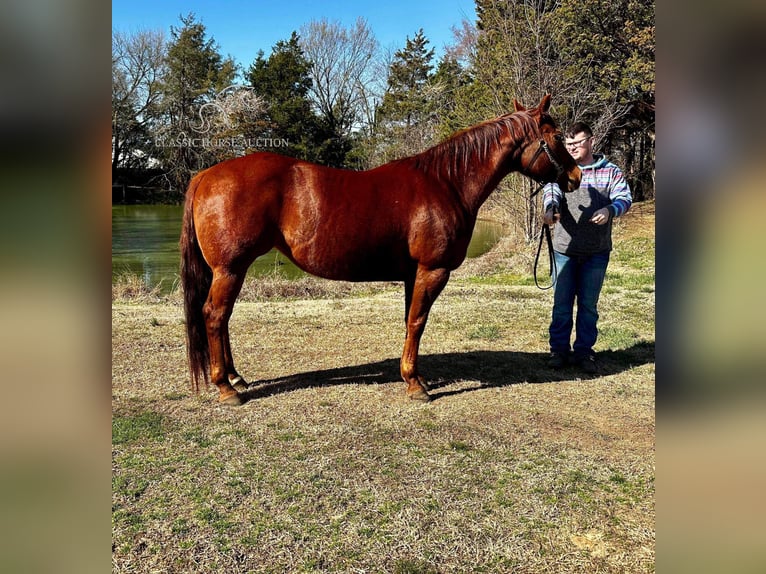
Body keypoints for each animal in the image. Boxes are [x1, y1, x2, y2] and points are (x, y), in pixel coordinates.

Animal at [180, 94, 580, 408]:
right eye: (556, 136)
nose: (576, 176)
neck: (447, 182)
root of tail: (205, 175)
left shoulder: (412, 274)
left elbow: (409, 321)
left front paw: (415, 376)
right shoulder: (432, 270)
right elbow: (417, 321)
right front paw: (415, 385)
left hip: (231, 270)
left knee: (222, 319)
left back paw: (236, 378)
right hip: (231, 268)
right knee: (214, 316)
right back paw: (226, 388)